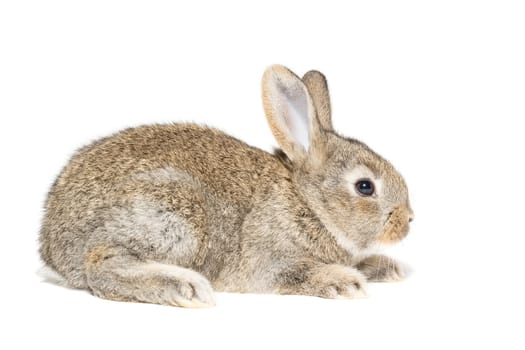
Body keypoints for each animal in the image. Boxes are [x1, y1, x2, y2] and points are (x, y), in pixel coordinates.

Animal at [39, 65, 412, 306]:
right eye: (365, 187)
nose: (408, 220)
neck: (309, 204)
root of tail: (52, 246)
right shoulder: (270, 260)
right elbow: (297, 273)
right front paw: (344, 282)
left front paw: (392, 268)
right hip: (174, 215)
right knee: (101, 266)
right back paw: (186, 288)